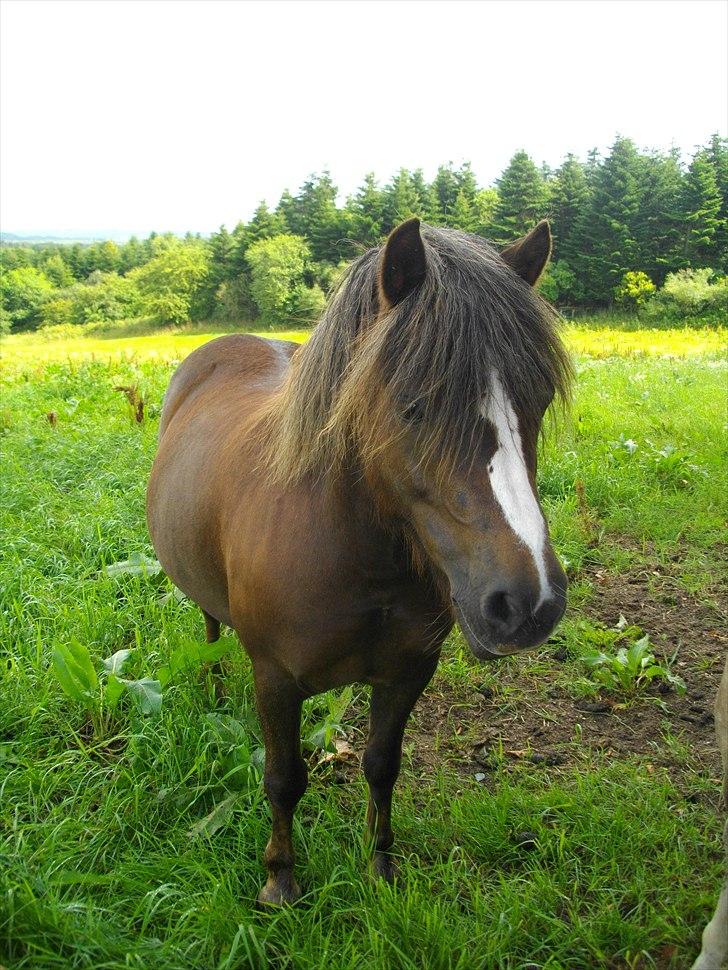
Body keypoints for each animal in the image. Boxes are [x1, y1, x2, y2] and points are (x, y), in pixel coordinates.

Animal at [146, 217, 568, 900]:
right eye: (415, 403)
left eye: (541, 398)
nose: (529, 603)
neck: (359, 562)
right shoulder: (275, 679)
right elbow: (283, 779)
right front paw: (280, 881)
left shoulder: (407, 673)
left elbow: (381, 766)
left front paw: (379, 865)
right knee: (209, 624)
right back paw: (212, 686)